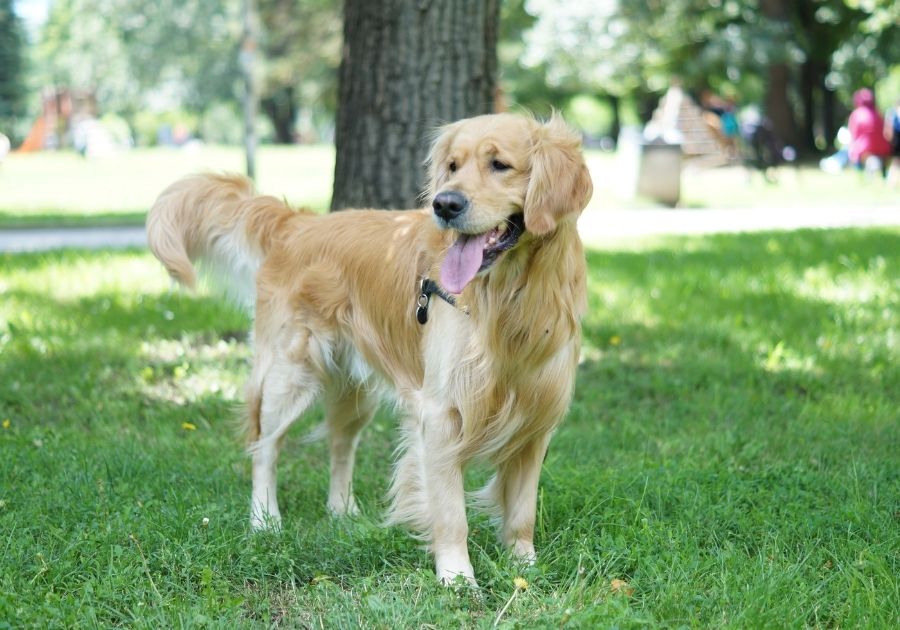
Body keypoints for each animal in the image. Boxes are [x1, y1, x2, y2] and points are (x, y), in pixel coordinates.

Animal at [145, 113, 596, 588]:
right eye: (452, 167)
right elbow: (451, 512)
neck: (512, 297)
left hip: (353, 390)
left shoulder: (537, 416)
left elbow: (523, 510)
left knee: (340, 445)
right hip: (289, 373)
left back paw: (342, 511)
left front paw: (525, 567)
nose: (444, 205)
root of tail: (298, 223)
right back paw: (265, 520)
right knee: (265, 447)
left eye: (500, 164)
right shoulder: (441, 414)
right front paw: (457, 579)